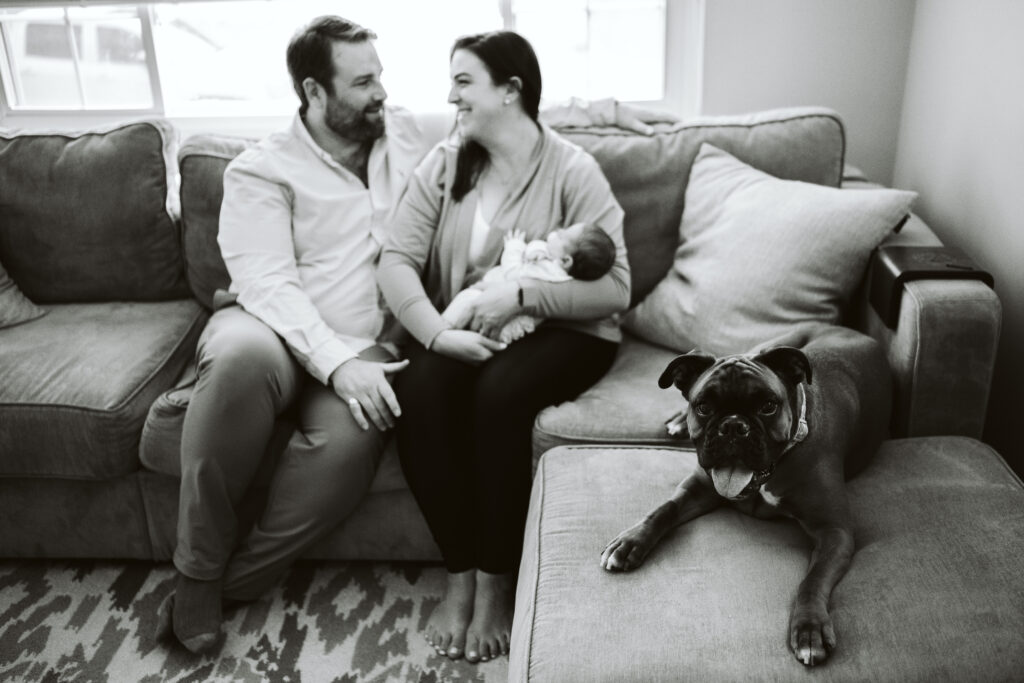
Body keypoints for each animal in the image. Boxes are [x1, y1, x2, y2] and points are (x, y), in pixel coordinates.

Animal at [598, 325, 892, 667]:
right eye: (703, 407)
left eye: (768, 406)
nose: (733, 426)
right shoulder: (698, 487)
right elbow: (663, 509)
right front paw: (630, 542)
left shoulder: (835, 531)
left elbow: (812, 580)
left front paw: (809, 628)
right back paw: (677, 420)